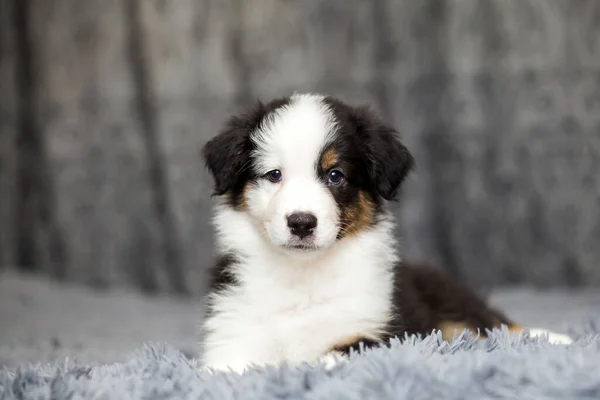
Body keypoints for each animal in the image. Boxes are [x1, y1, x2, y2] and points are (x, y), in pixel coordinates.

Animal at [198, 92, 572, 374]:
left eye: (335, 176)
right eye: (274, 175)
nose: (302, 222)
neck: (303, 275)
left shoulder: (376, 329)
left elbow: (331, 353)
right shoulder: (230, 337)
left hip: (449, 298)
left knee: (495, 325)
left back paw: (556, 338)